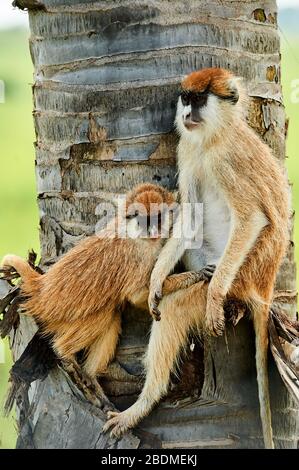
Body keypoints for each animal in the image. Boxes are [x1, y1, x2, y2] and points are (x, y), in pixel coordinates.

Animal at [1, 184, 212, 378]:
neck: (132, 232)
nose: (153, 230)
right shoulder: (140, 255)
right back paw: (66, 356)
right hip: (59, 315)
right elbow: (137, 295)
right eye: (143, 219)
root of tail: (42, 287)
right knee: (103, 315)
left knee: (111, 316)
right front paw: (197, 275)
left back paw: (90, 377)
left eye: (158, 217)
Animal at [105, 67, 290, 448]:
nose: (188, 114)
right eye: (186, 98)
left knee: (178, 307)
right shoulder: (187, 148)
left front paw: (215, 297)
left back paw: (144, 402)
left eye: (200, 99)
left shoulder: (225, 160)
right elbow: (189, 216)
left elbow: (252, 219)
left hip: (243, 273)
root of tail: (264, 288)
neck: (214, 136)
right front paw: (157, 279)